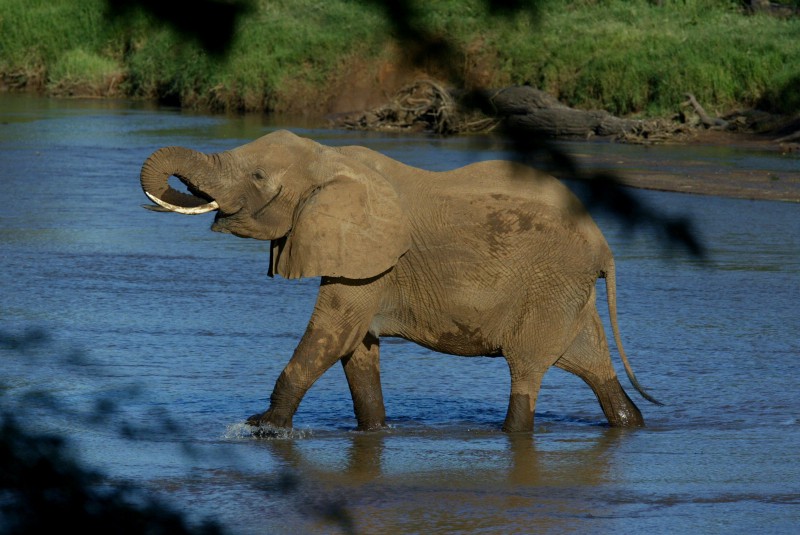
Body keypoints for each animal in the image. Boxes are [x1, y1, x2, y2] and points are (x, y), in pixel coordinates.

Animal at [140, 129, 660, 433]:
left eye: (258, 175)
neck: (330, 158)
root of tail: (604, 246)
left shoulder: (373, 259)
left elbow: (332, 332)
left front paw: (262, 428)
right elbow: (356, 347)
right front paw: (374, 433)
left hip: (549, 287)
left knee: (527, 372)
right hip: (568, 295)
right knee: (593, 365)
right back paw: (631, 422)